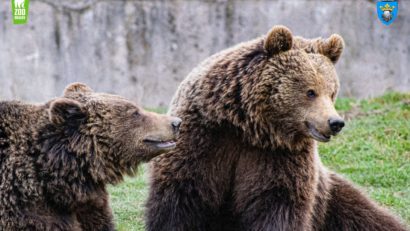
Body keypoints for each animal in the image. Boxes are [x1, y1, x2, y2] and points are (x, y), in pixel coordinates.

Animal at [145, 26, 406, 230]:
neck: (248, 125)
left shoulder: (278, 155)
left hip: (329, 199)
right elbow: (183, 197)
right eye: (310, 91)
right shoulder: (205, 138)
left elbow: (276, 201)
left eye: (332, 92)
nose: (335, 123)